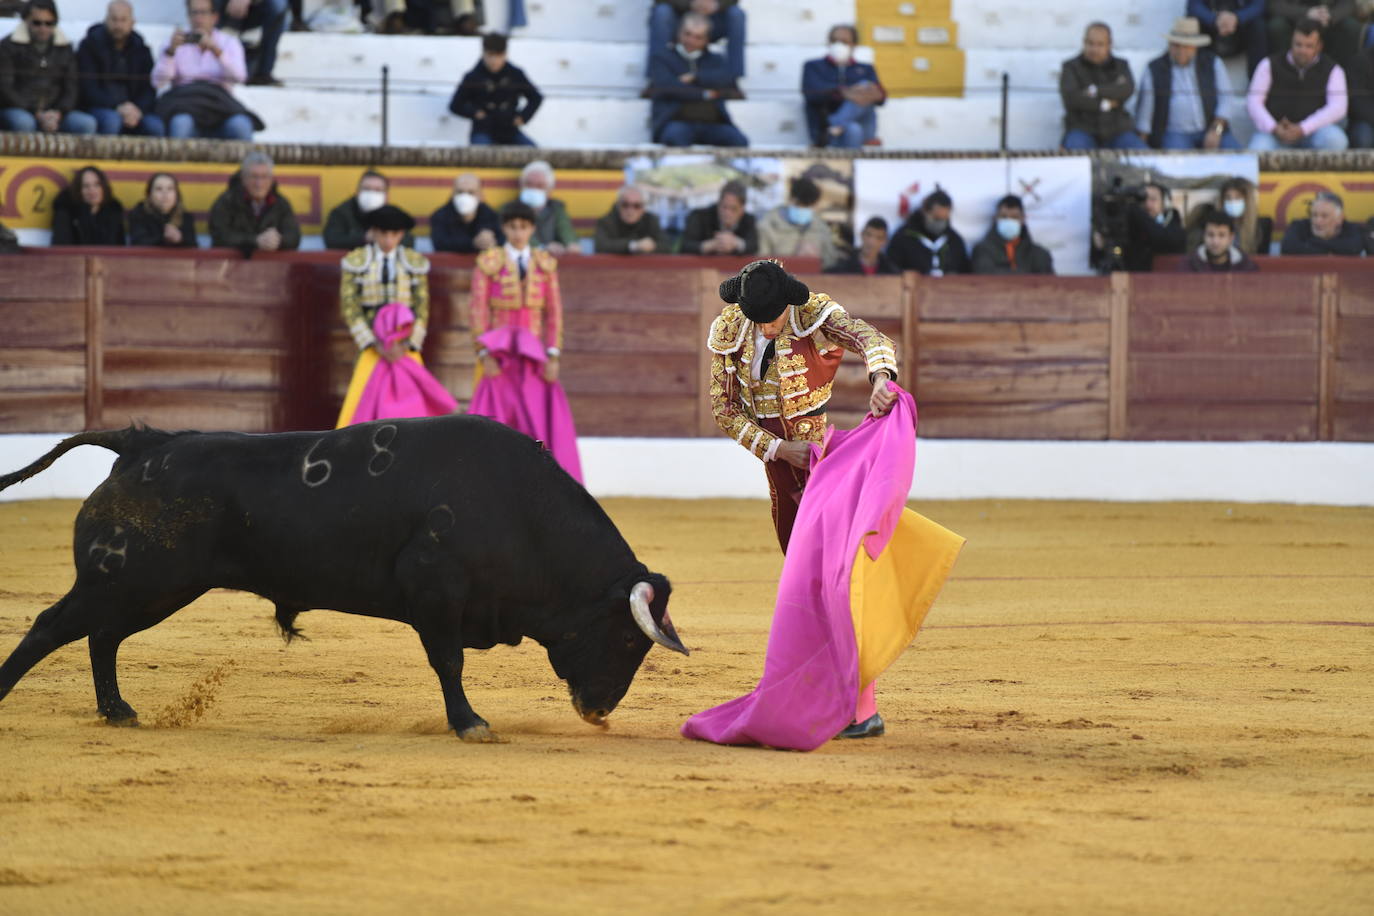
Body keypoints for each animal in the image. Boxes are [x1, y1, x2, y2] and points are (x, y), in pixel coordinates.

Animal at [0, 420, 687, 741]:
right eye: (631, 639)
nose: (599, 711)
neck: (521, 512)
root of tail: (143, 446)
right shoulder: (436, 592)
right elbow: (449, 664)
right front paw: (470, 723)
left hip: (147, 588)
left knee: (102, 637)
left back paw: (118, 711)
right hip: (129, 579)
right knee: (53, 627)